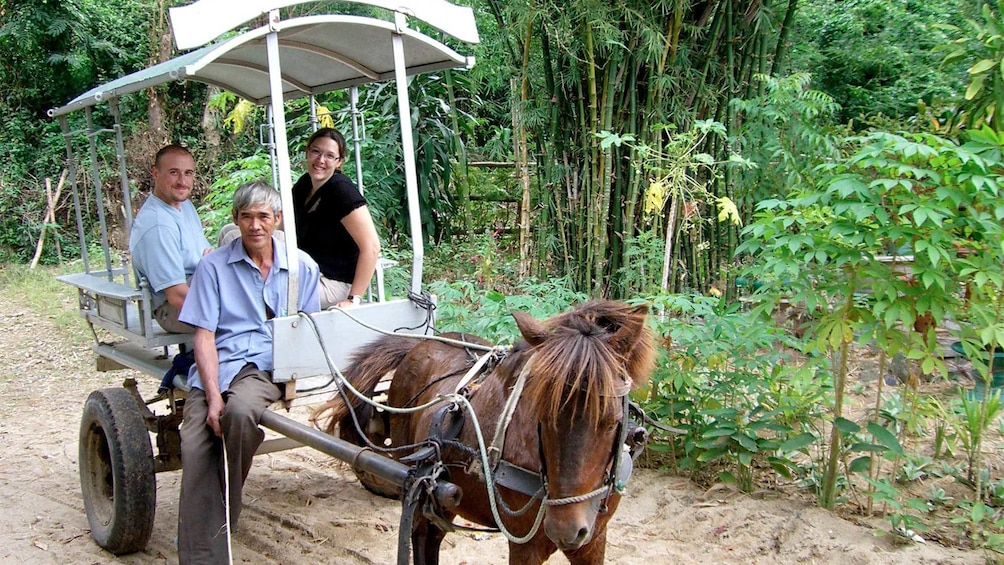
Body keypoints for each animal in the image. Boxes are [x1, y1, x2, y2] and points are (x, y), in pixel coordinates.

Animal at [313, 301, 658, 565]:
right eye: (541, 417)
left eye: (613, 421)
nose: (565, 530)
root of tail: (420, 344)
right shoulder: (525, 545)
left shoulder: (594, 540)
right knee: (421, 533)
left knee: (433, 534)